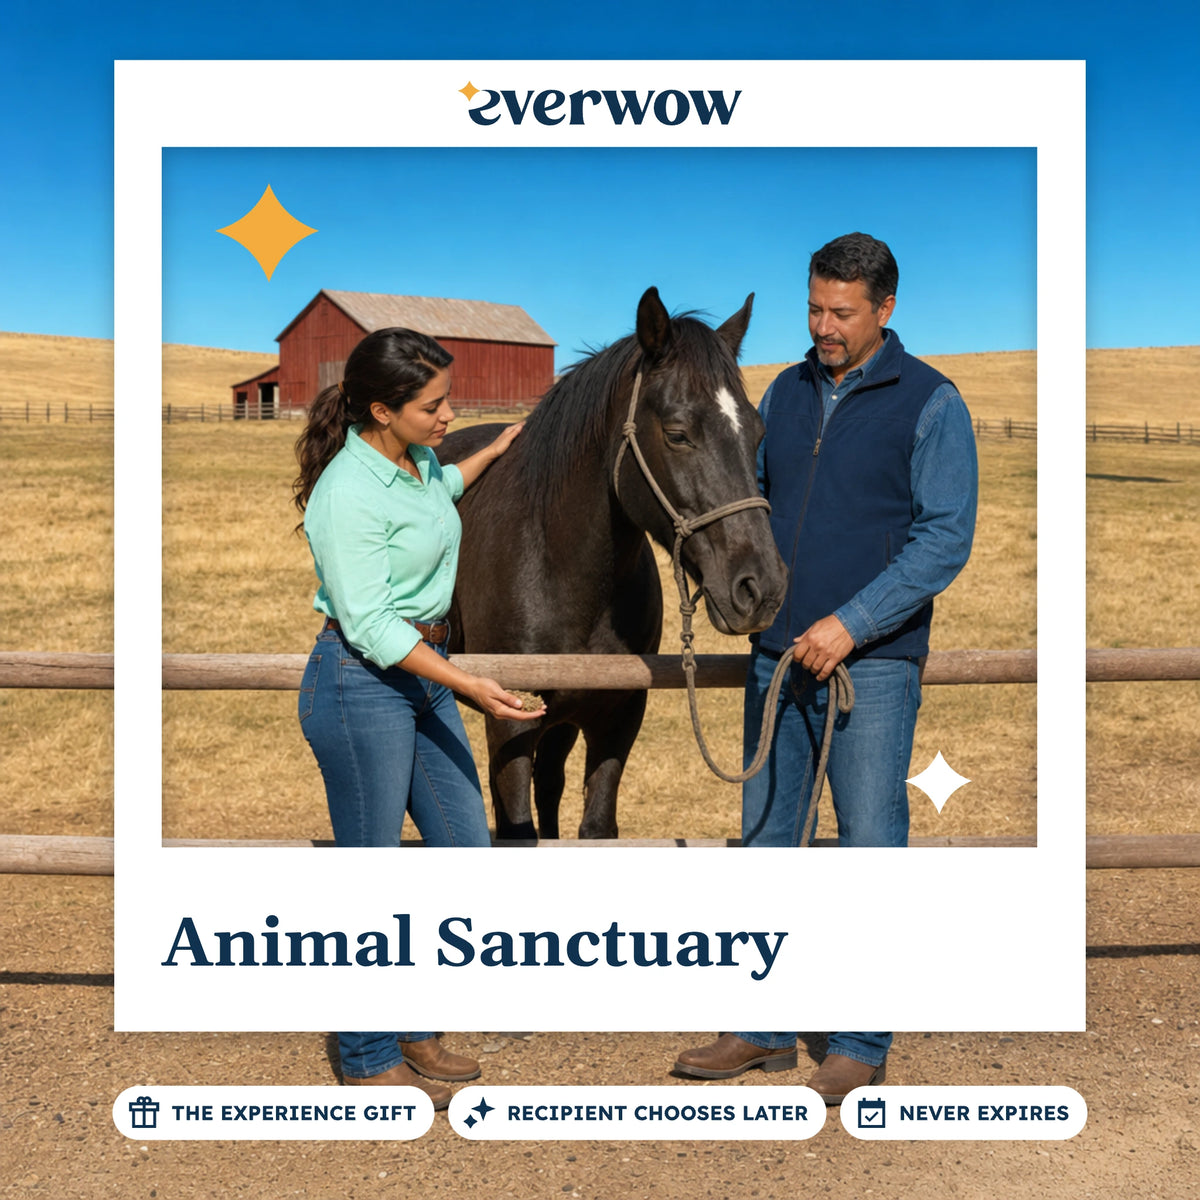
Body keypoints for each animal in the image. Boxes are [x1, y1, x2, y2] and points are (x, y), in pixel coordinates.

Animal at [438, 287, 787, 841]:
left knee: (550, 783)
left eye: (756, 433)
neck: (560, 573)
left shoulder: (618, 718)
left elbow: (596, 824)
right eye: (677, 433)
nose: (761, 589)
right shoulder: (511, 720)